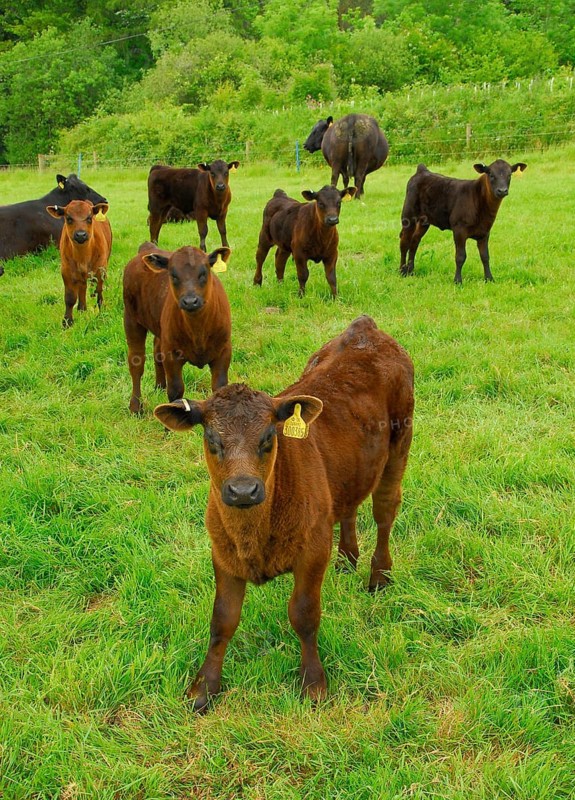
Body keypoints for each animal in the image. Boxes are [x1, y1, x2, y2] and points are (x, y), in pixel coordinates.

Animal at [123, 242, 232, 414]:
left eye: (203, 272)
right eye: (173, 275)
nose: (190, 301)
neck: (198, 330)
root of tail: (147, 247)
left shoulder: (224, 351)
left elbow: (219, 387)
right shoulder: (171, 355)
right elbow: (176, 391)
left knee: (156, 350)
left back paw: (160, 386)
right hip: (131, 320)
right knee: (136, 362)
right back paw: (135, 407)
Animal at [154, 315, 414, 710]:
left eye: (268, 437)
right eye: (212, 439)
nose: (242, 490)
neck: (253, 535)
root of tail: (364, 328)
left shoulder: (312, 551)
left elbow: (304, 614)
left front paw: (314, 682)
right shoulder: (222, 554)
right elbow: (222, 620)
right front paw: (204, 687)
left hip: (400, 444)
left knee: (385, 510)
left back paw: (379, 576)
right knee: (349, 506)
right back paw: (346, 559)